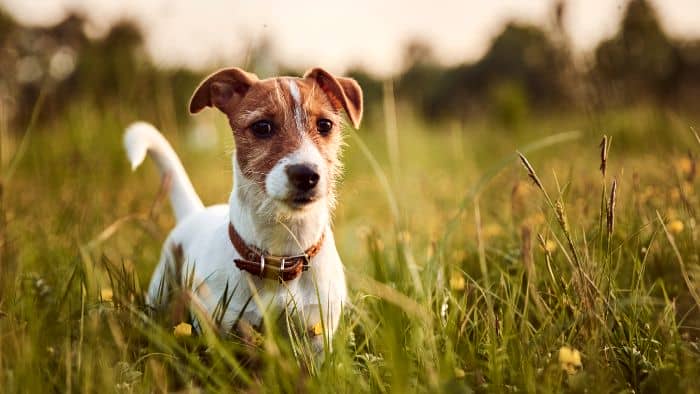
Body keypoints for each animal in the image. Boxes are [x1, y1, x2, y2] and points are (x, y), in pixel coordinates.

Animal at [125, 66, 364, 352]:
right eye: (262, 127)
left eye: (325, 125)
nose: (306, 174)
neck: (281, 258)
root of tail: (195, 212)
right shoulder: (225, 328)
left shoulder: (317, 333)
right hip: (161, 287)